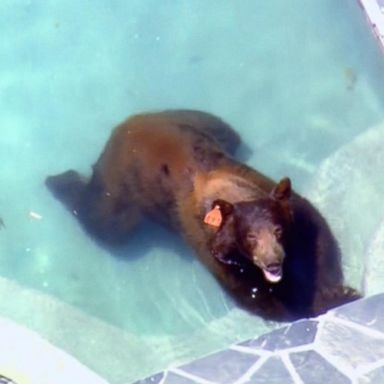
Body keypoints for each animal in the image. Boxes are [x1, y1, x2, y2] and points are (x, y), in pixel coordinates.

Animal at [45, 109, 360, 320]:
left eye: (278, 230)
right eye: (250, 237)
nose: (272, 262)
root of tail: (123, 128)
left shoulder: (285, 202)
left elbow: (318, 236)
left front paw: (332, 289)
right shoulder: (210, 247)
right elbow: (252, 294)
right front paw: (319, 300)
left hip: (197, 121)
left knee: (229, 131)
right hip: (121, 185)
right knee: (107, 223)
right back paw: (59, 180)